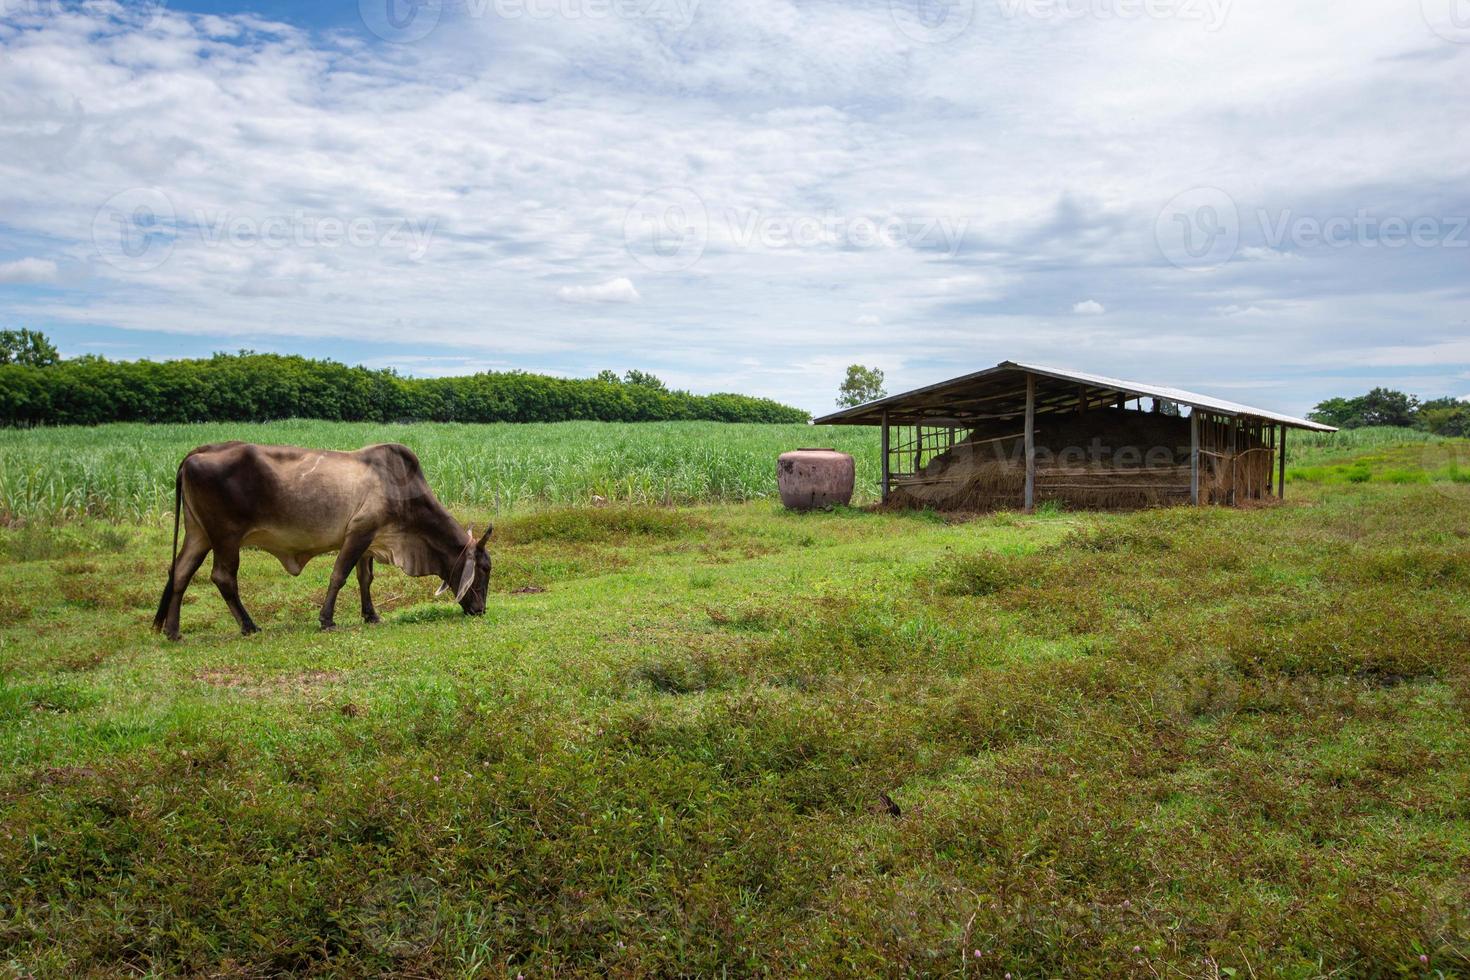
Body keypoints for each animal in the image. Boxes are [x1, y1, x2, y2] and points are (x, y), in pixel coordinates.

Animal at [152, 440, 490, 640]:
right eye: (485, 569)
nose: (481, 610)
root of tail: (197, 453)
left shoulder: (369, 542)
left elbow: (365, 580)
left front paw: (371, 615)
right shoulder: (358, 533)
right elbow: (339, 575)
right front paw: (327, 620)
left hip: (198, 534)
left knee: (180, 572)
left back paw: (173, 631)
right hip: (226, 536)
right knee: (223, 577)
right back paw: (249, 626)